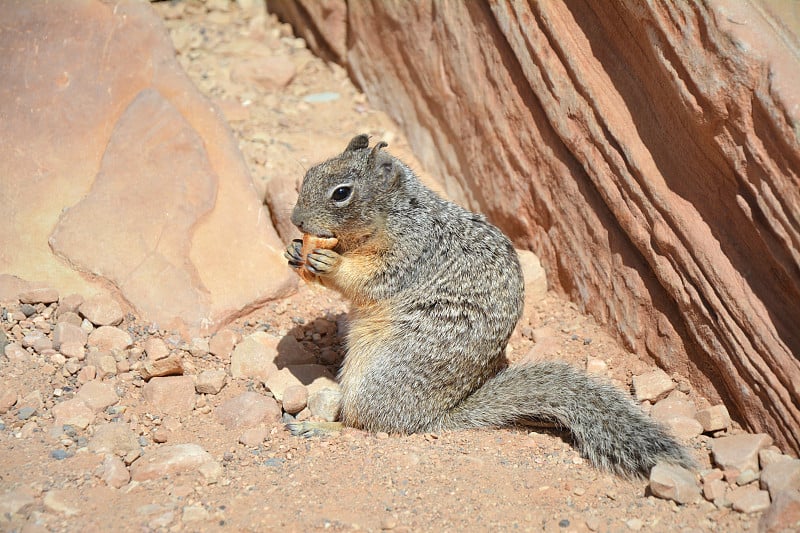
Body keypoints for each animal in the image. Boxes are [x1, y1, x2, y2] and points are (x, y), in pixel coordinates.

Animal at [282, 133, 692, 474]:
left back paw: (319, 427)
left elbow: (368, 280)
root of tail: (434, 419)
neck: (398, 214)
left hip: (378, 379)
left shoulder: (408, 255)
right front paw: (295, 250)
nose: (295, 219)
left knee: (366, 426)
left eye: (341, 193)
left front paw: (330, 263)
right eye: (309, 173)